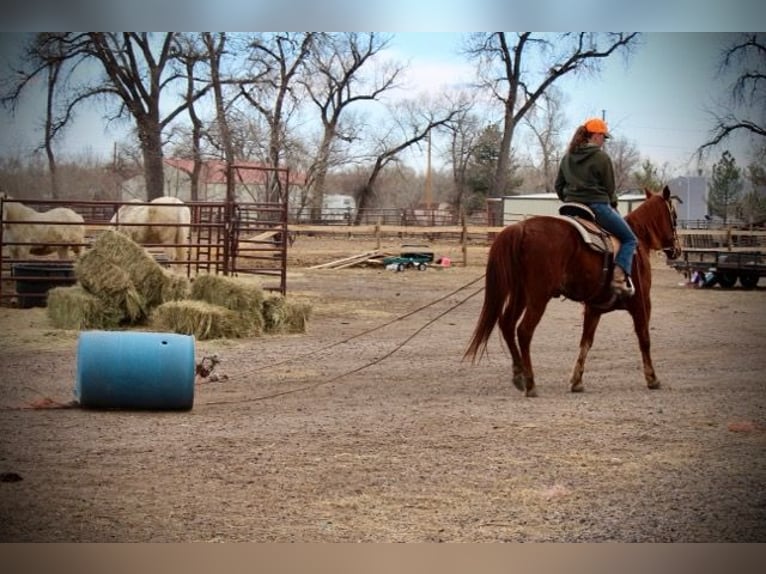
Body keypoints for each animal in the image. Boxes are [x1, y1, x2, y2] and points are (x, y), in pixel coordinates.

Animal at [464, 187, 688, 398]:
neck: (638, 241)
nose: (676, 250)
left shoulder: (593, 308)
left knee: (507, 325)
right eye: (674, 216)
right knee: (524, 331)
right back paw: (530, 383)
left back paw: (518, 375)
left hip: (520, 294)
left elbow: (586, 342)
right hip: (538, 297)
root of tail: (522, 228)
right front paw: (652, 378)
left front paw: (576, 381)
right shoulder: (641, 303)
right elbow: (644, 338)